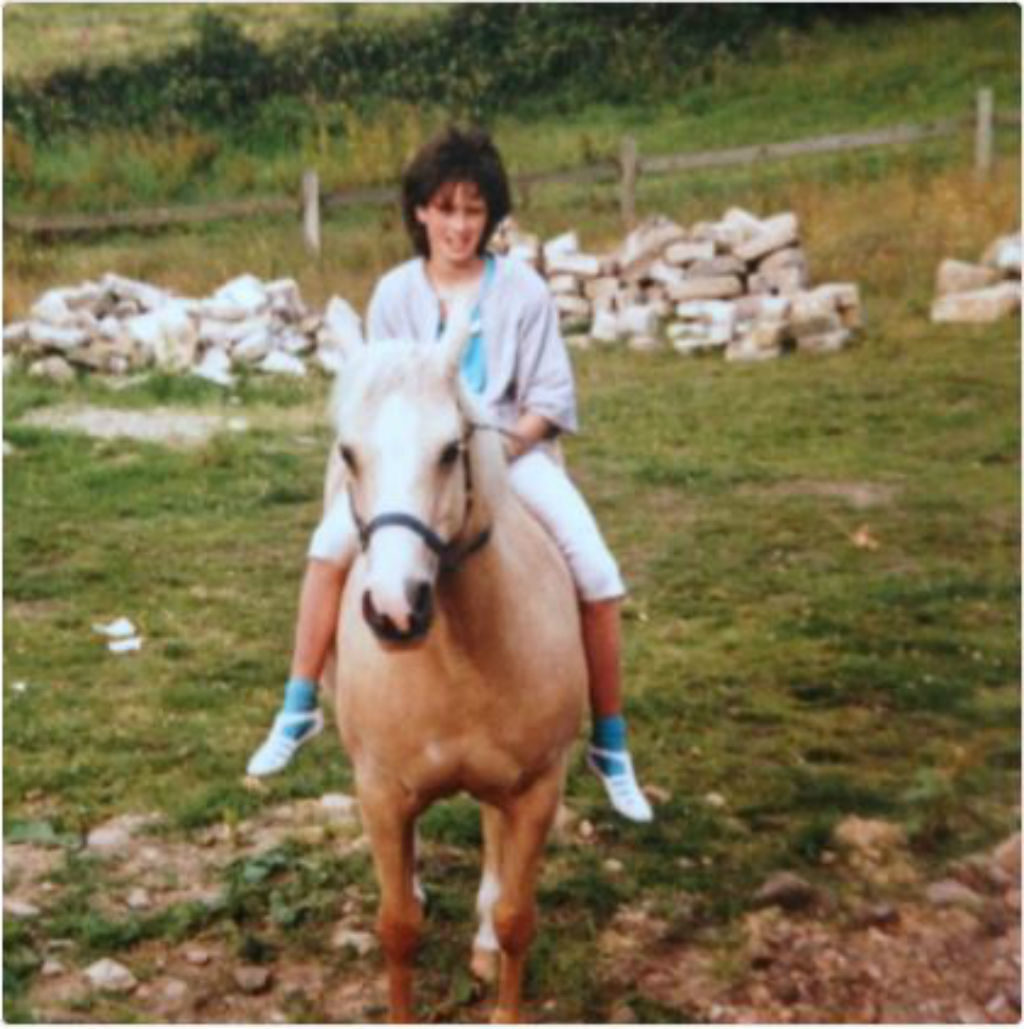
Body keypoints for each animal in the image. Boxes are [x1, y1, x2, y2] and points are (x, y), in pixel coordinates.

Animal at [321, 305, 587, 1022]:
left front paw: (502, 989)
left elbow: (519, 917)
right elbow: (398, 927)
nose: (395, 609)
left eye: (450, 449)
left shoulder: (537, 789)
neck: (460, 659)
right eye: (348, 452)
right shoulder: (381, 792)